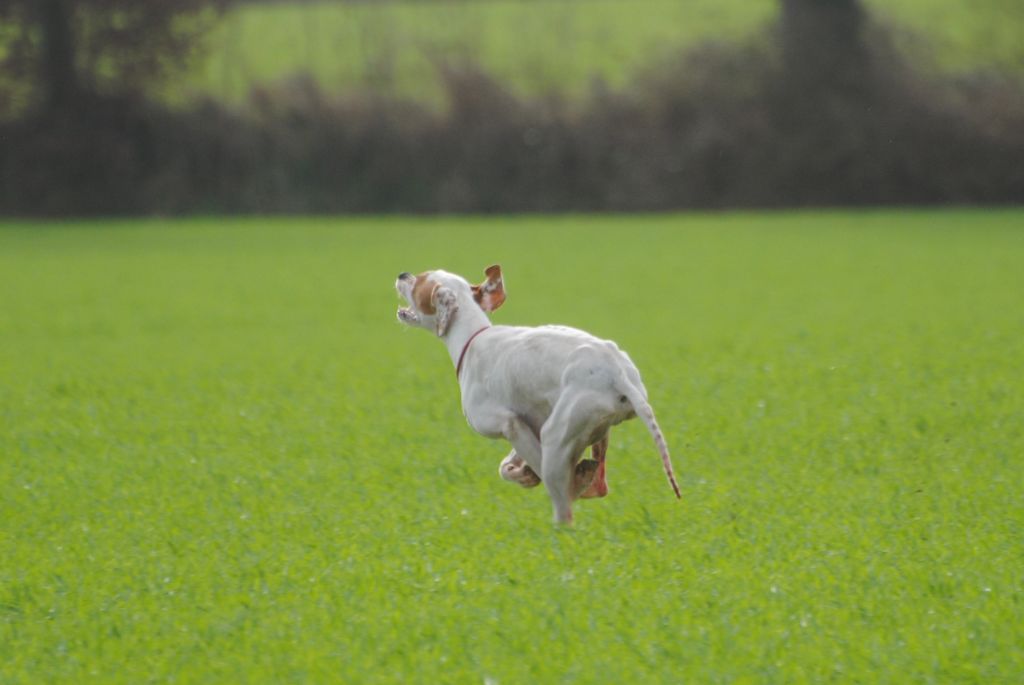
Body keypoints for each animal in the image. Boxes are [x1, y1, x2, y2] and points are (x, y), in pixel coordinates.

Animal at [393, 264, 679, 520]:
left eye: (420, 281)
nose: (402, 274)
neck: (473, 337)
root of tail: (616, 372)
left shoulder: (509, 424)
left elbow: (532, 463)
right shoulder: (529, 422)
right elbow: (506, 467)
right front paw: (523, 473)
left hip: (555, 437)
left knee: (566, 504)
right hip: (595, 433)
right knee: (599, 486)